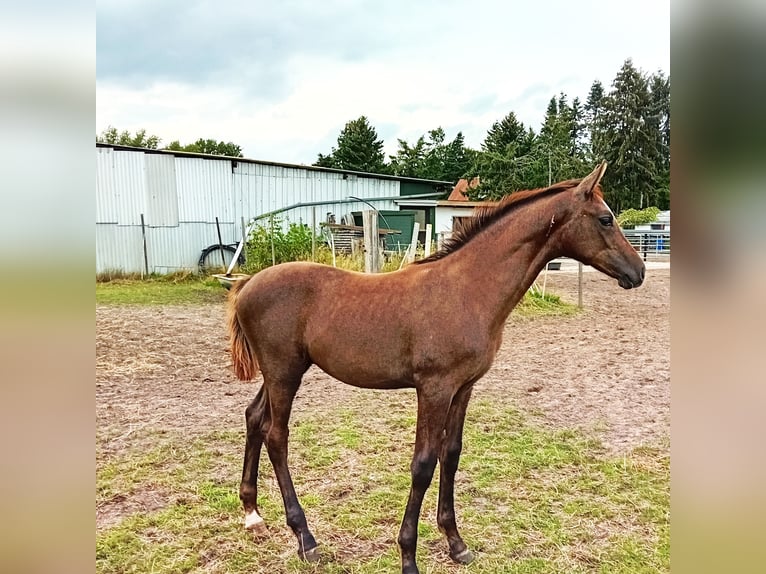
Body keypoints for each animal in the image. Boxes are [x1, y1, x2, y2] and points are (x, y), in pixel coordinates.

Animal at [225, 162, 644, 574]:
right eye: (606, 219)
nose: (638, 271)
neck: (467, 289)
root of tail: (247, 284)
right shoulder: (434, 389)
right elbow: (423, 464)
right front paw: (409, 557)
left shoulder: (463, 387)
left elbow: (451, 454)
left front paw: (456, 543)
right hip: (284, 374)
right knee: (277, 436)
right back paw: (305, 538)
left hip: (279, 373)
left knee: (254, 418)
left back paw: (253, 515)